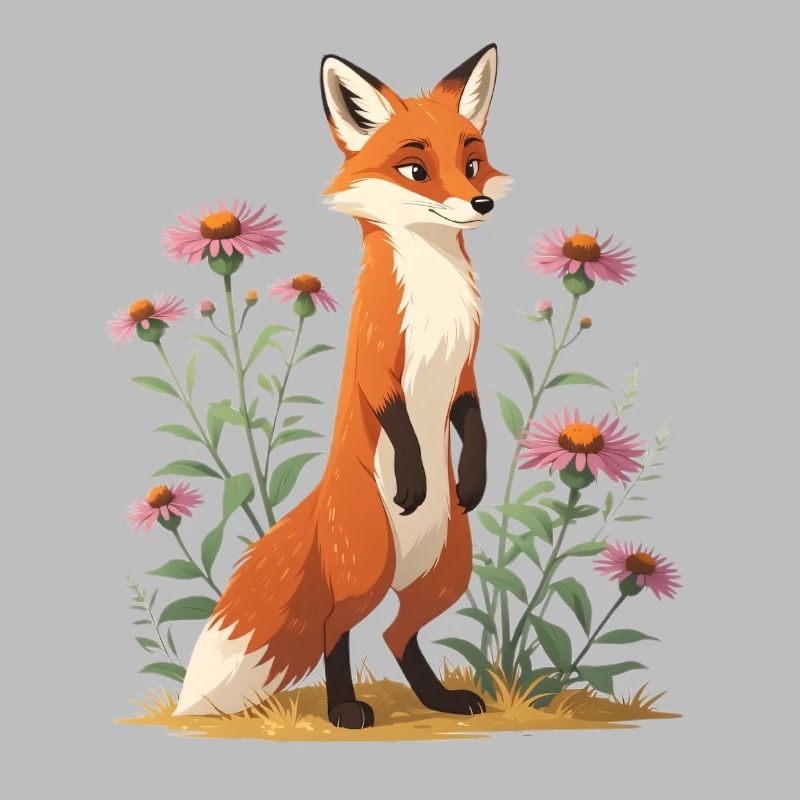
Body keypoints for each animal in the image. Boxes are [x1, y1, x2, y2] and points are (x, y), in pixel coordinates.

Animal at [174, 44, 511, 728]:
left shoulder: (465, 370)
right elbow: (399, 420)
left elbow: (473, 421)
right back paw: (344, 709)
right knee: (338, 629)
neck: (435, 294)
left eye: (472, 163)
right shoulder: (378, 363)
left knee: (396, 634)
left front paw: (473, 479)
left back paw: (439, 699)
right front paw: (414, 477)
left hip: (446, 576)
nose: (480, 204)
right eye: (415, 169)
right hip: (370, 567)